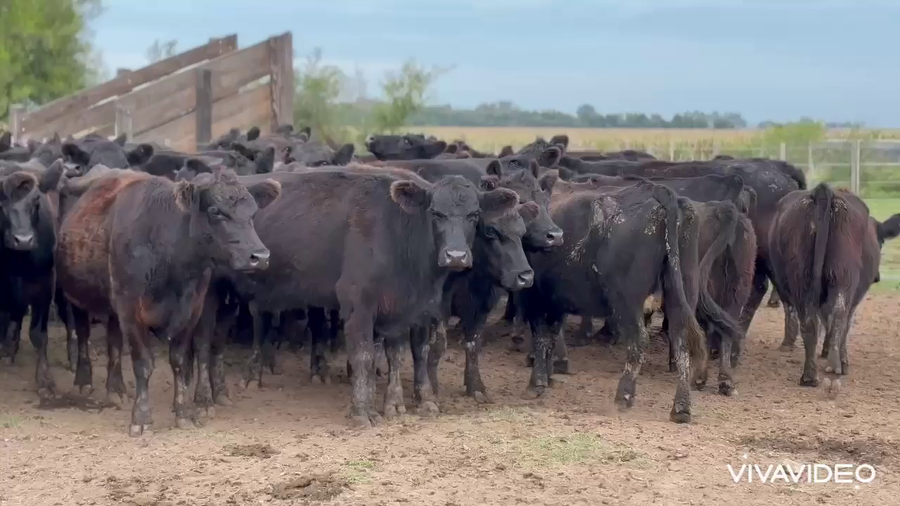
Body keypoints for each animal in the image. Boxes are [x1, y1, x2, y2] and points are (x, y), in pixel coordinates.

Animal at [0, 161, 65, 401]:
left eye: (36, 201)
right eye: (1, 200)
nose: (23, 240)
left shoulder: (45, 287)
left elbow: (38, 334)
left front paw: (45, 380)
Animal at [56, 167, 279, 436]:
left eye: (253, 212)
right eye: (215, 211)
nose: (261, 256)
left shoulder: (191, 309)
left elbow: (179, 361)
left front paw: (183, 413)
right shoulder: (131, 309)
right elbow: (143, 363)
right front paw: (141, 418)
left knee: (114, 342)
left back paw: (116, 388)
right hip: (77, 296)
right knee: (82, 334)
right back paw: (83, 380)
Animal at [768, 183, 900, 396]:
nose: (878, 277)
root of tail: (823, 192)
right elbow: (844, 324)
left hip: (801, 280)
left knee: (809, 323)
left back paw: (809, 375)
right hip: (843, 277)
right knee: (840, 316)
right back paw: (835, 366)